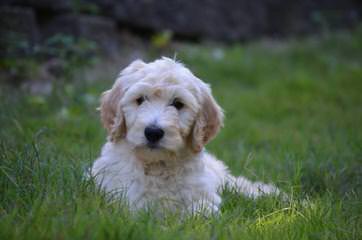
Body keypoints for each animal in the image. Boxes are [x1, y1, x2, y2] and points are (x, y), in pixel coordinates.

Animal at [90, 58, 280, 214]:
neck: (158, 164)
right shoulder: (124, 196)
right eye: (140, 99)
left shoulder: (203, 192)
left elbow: (201, 209)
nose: (153, 132)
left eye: (178, 104)